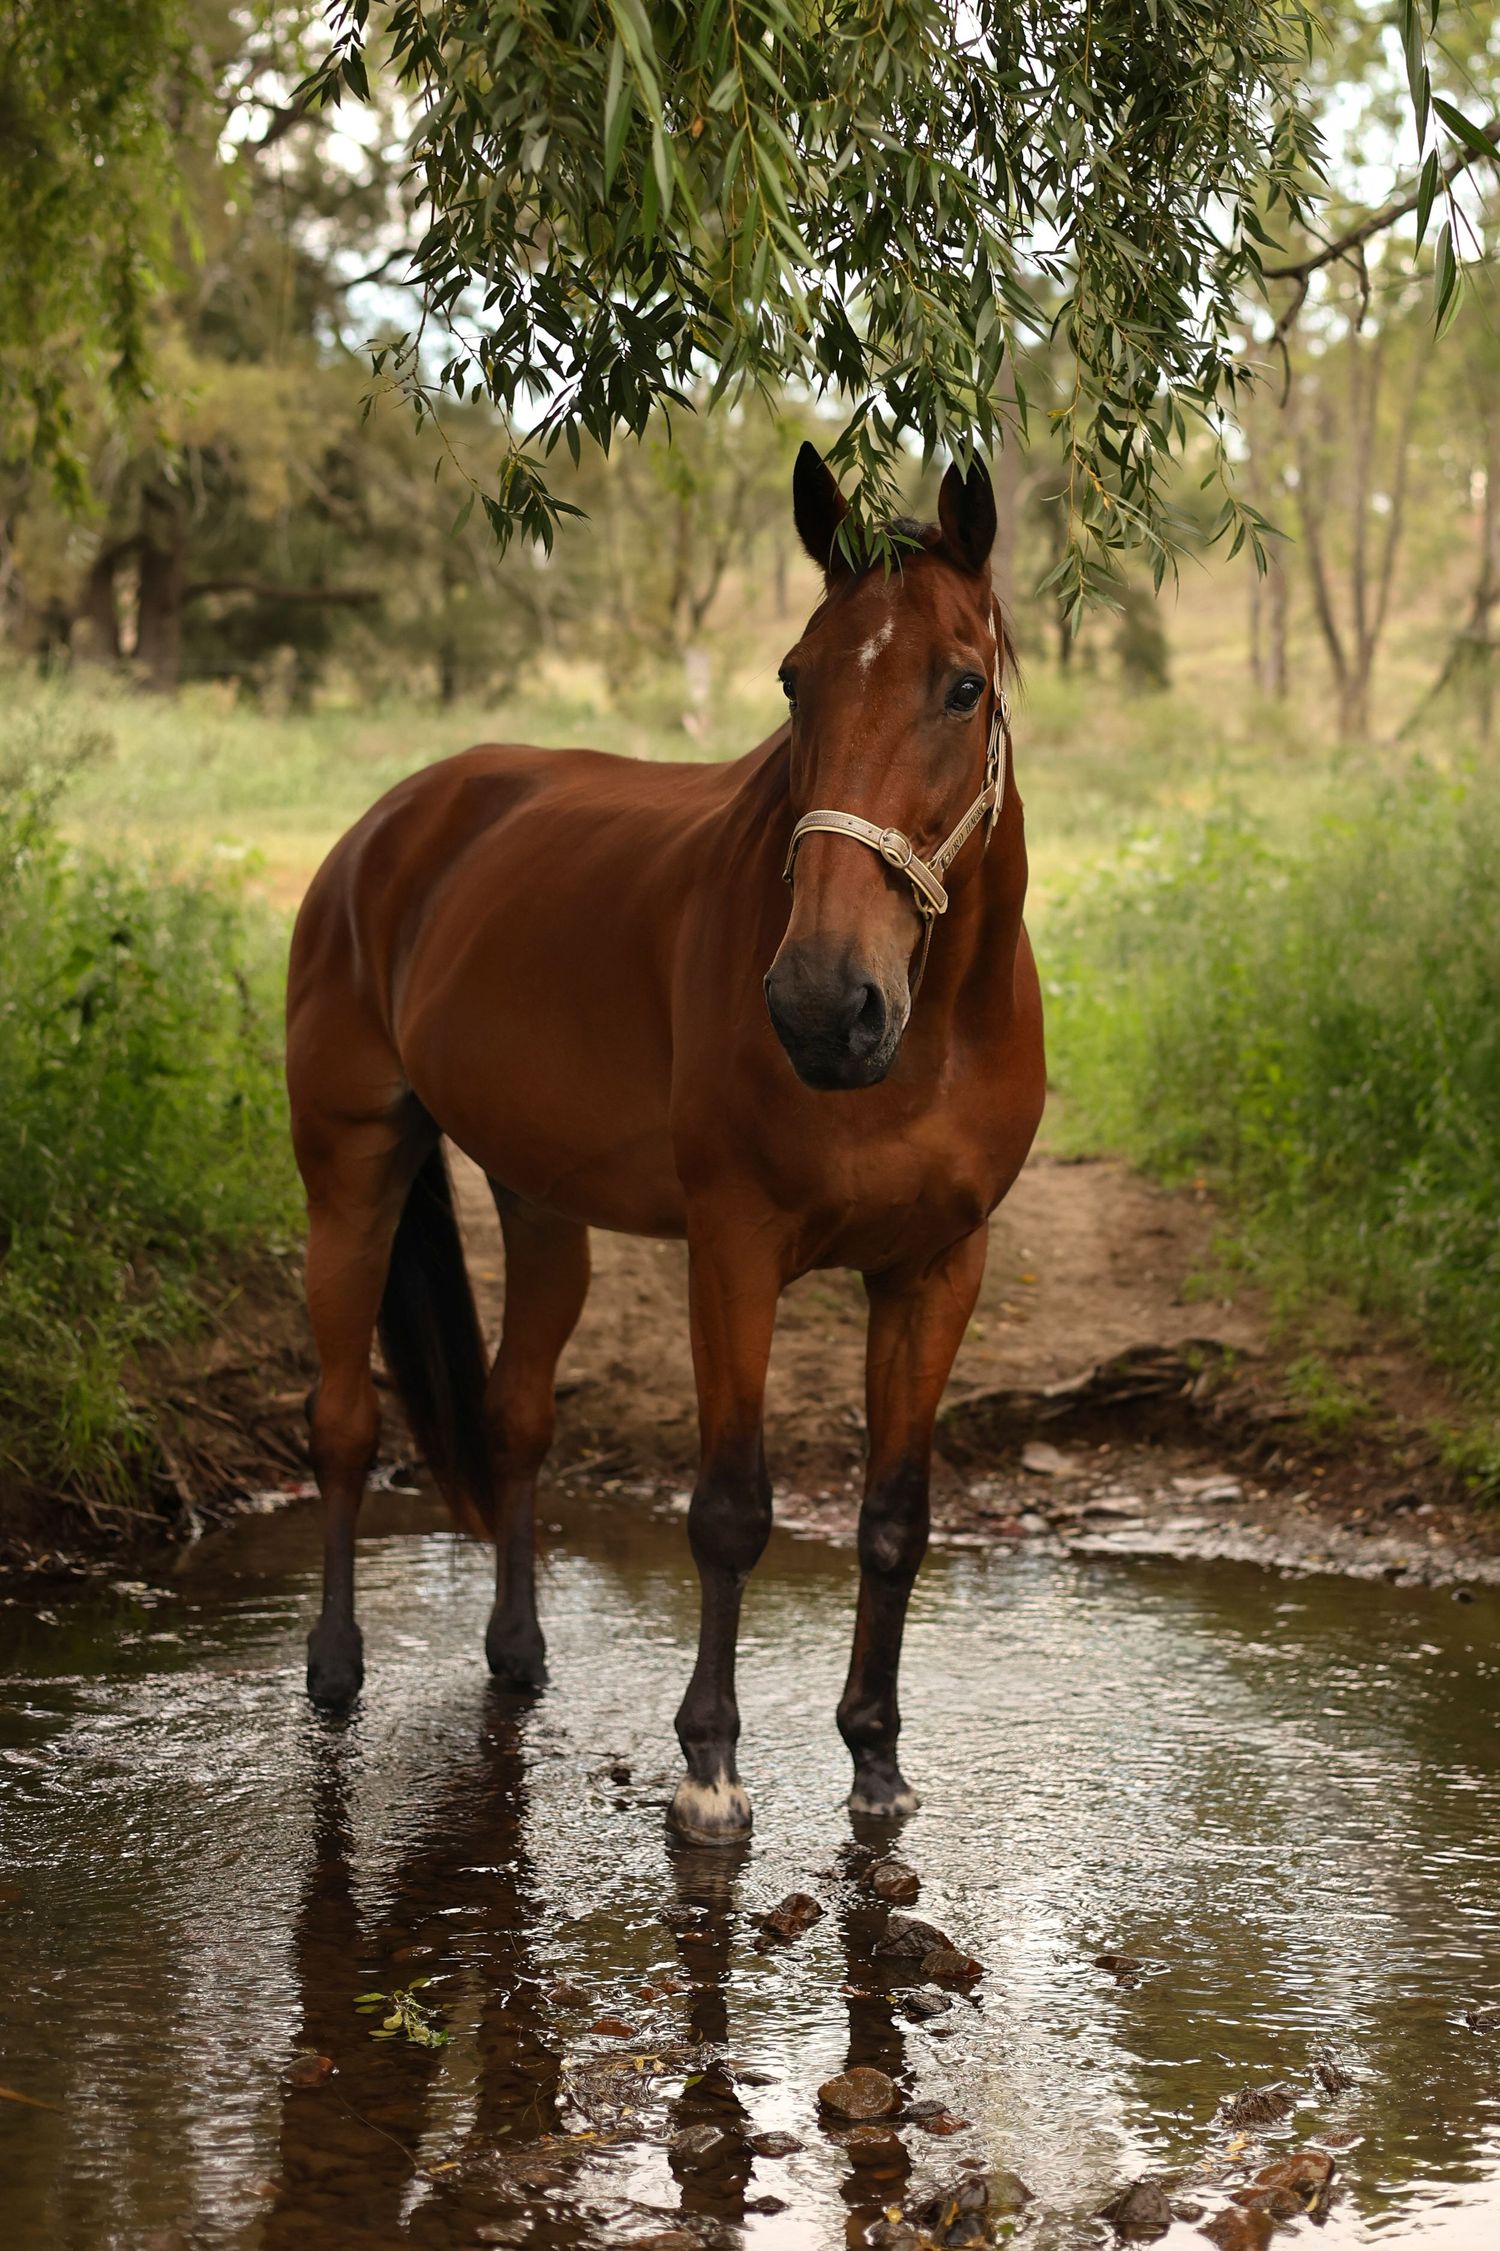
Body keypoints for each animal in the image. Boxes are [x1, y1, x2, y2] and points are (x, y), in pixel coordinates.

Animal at [284, 445, 1045, 1843]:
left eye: (962, 686)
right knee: (344, 1422)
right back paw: (334, 1669)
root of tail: (395, 821)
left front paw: (876, 1760)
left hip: (540, 1202)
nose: (821, 1005)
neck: (927, 1038)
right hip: (350, 1171)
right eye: (796, 677)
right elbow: (732, 1509)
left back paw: (519, 1655)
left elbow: (895, 1520)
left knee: (515, 1416)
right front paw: (710, 1766)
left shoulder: (937, 1267)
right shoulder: (733, 1249)